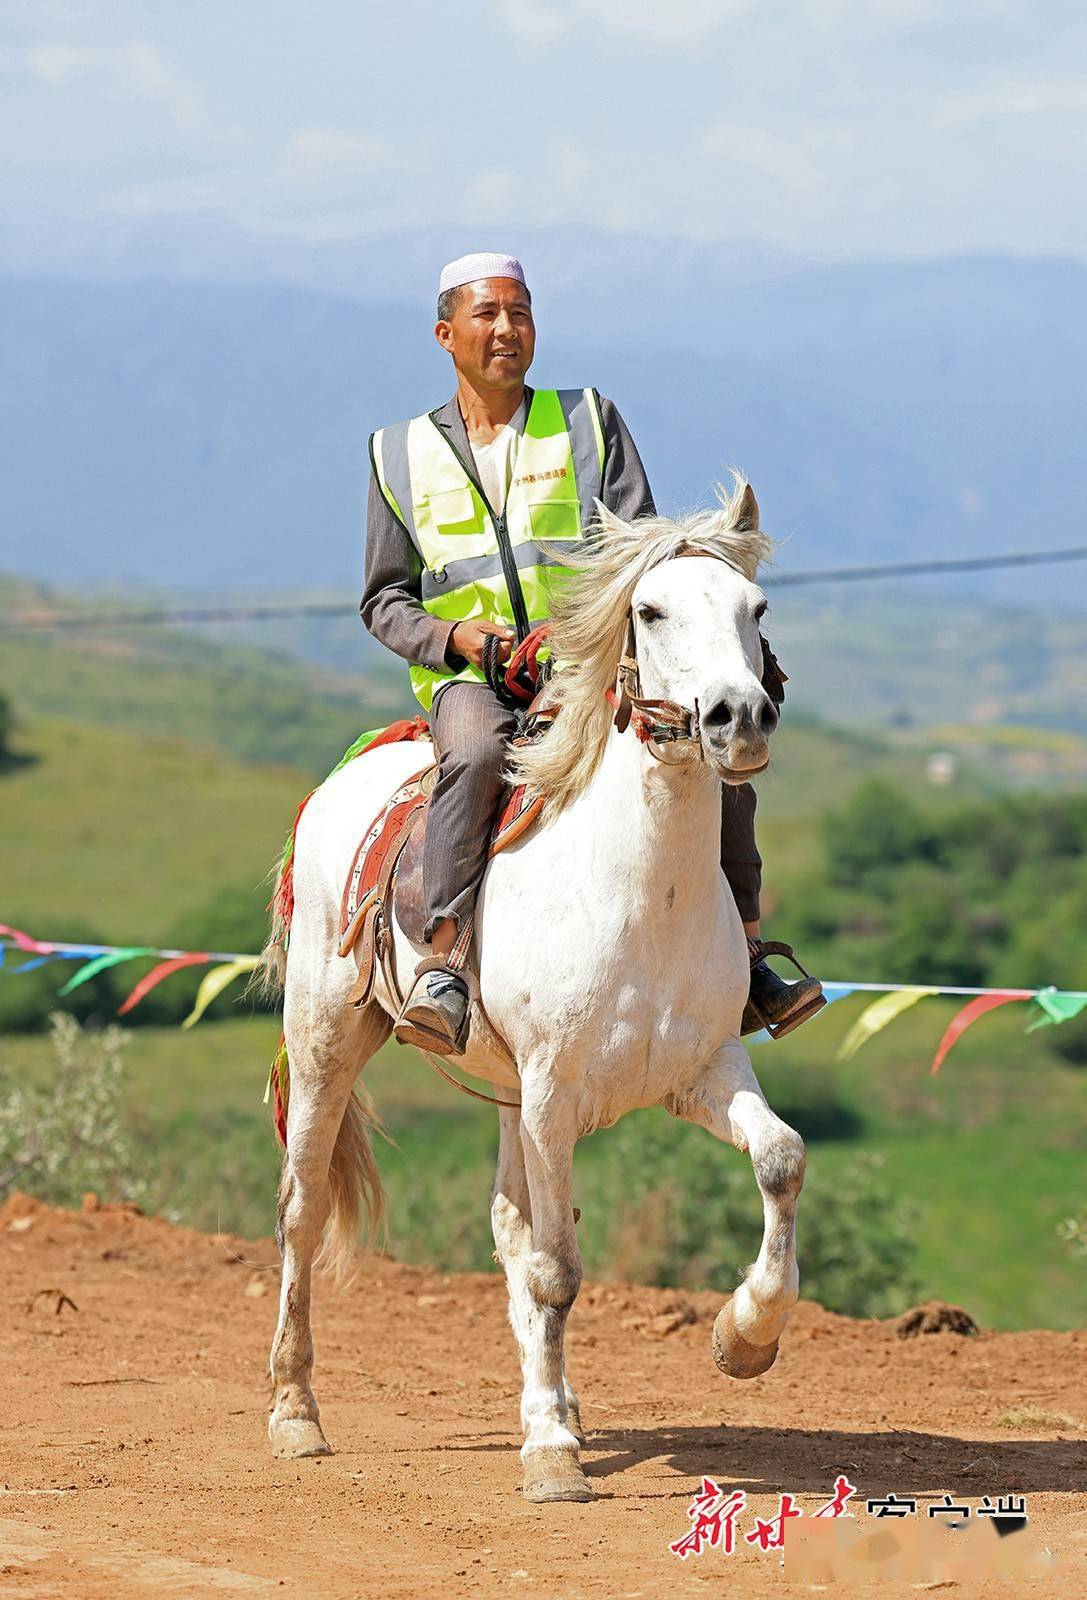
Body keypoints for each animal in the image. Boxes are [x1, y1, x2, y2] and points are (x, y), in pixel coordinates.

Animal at [260, 480, 806, 1504]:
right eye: (649, 610)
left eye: (755, 610)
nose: (736, 719)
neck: (639, 890)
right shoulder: (555, 1096)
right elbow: (556, 1270)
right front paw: (553, 1460)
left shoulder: (704, 1071)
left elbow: (780, 1161)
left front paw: (744, 1337)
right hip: (326, 1043)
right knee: (303, 1214)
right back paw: (295, 1412)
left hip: (510, 1094)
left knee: (507, 1229)